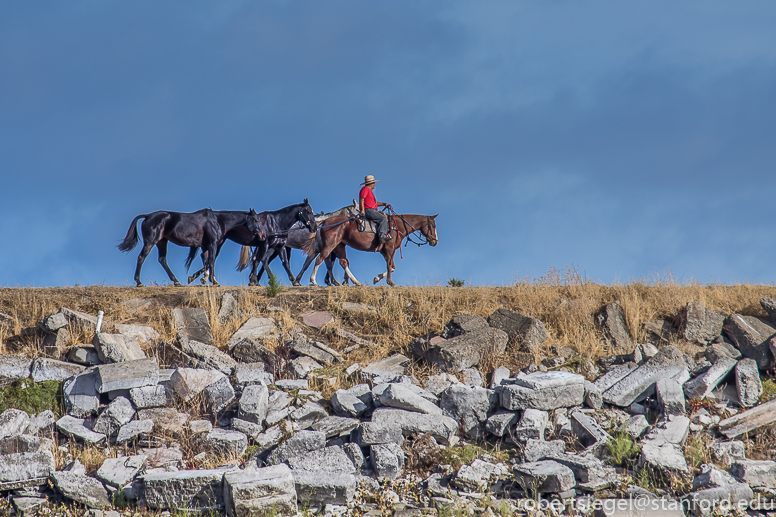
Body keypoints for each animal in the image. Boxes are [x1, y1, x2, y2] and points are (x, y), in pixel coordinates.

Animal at [310, 212, 442, 288]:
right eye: (433, 226)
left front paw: (377, 278)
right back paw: (314, 281)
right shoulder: (389, 249)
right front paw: (390, 282)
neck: (397, 226)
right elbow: (389, 266)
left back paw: (356, 282)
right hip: (330, 244)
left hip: (339, 246)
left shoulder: (386, 252)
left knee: (343, 262)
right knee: (320, 259)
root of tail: (325, 221)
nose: (435, 241)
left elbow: (392, 267)